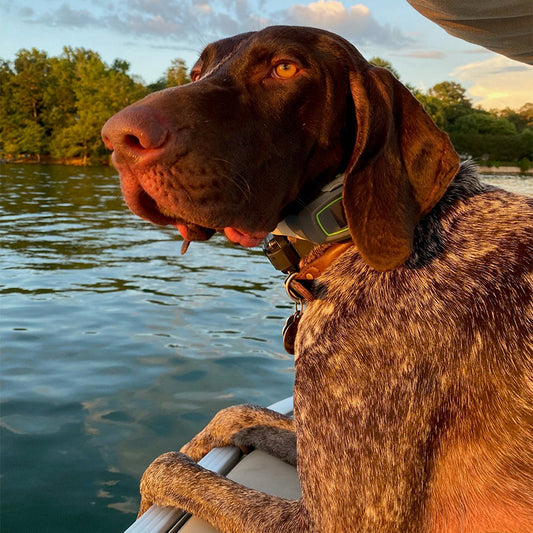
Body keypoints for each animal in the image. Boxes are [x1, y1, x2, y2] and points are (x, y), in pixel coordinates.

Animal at [102, 27, 528, 532]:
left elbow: (166, 467)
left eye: (285, 68)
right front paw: (213, 439)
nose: (118, 138)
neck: (345, 246)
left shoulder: (335, 519)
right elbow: (237, 414)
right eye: (195, 72)